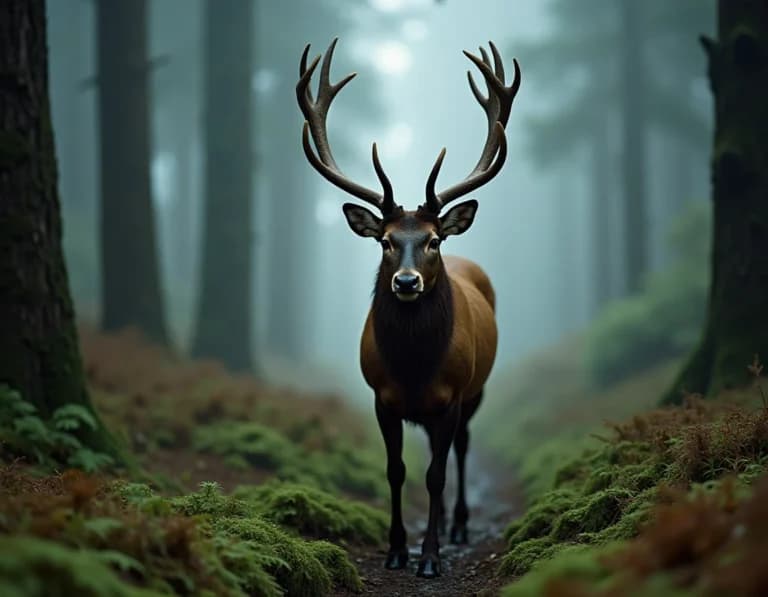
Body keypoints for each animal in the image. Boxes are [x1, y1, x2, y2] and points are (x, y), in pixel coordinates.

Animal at [297, 38, 520, 578]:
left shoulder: (452, 397)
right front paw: (397, 550)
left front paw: (432, 557)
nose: (405, 281)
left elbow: (436, 475)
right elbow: (395, 471)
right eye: (385, 241)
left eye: (433, 240)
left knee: (463, 449)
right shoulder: (382, 397)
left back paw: (460, 526)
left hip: (477, 389)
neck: (415, 367)